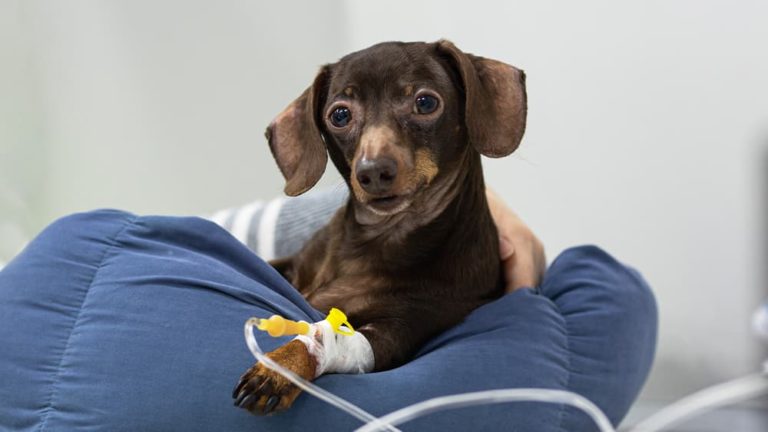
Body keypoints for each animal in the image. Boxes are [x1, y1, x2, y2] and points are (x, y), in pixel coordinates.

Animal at [231, 40, 524, 416]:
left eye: (425, 102)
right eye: (340, 115)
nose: (372, 172)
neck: (375, 238)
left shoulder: (398, 330)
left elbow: (326, 337)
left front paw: (279, 367)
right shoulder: (292, 266)